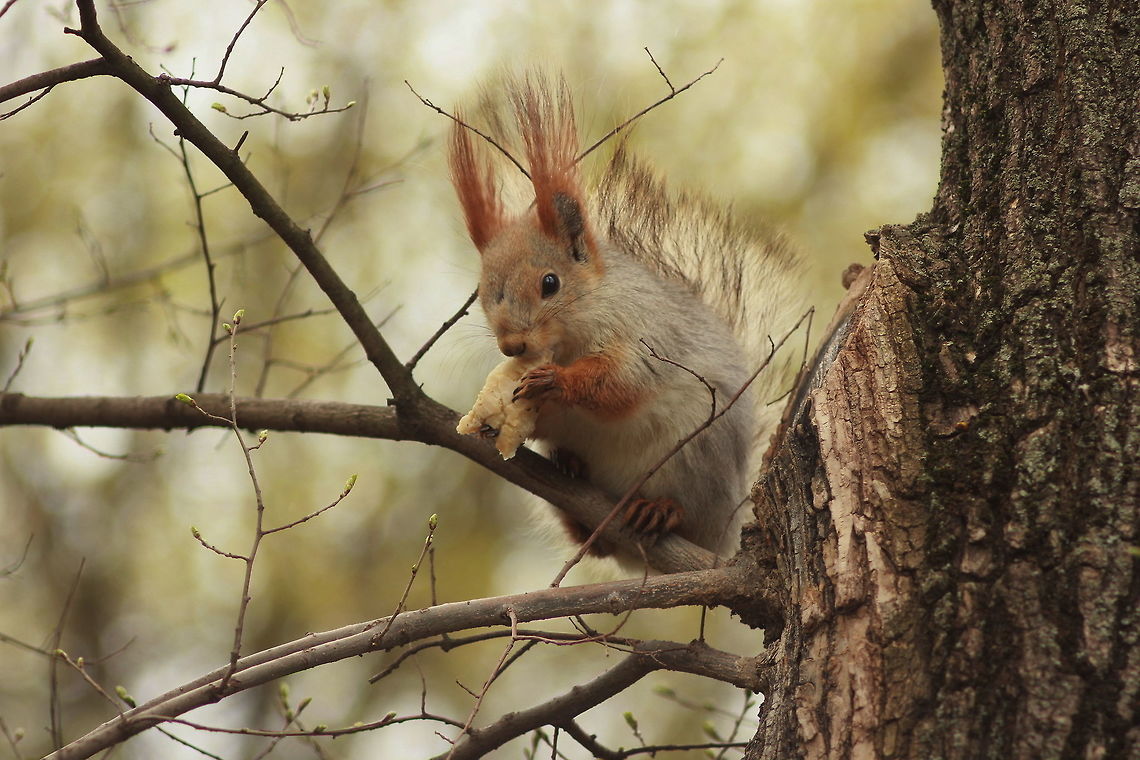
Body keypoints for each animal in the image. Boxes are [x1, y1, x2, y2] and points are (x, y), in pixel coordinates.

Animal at [450, 73, 803, 561]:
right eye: (485, 295)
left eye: (550, 283)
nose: (512, 347)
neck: (568, 340)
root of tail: (726, 532)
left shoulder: (644, 331)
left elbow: (622, 382)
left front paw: (555, 381)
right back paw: (573, 472)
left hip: (696, 459)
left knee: (686, 509)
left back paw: (662, 511)